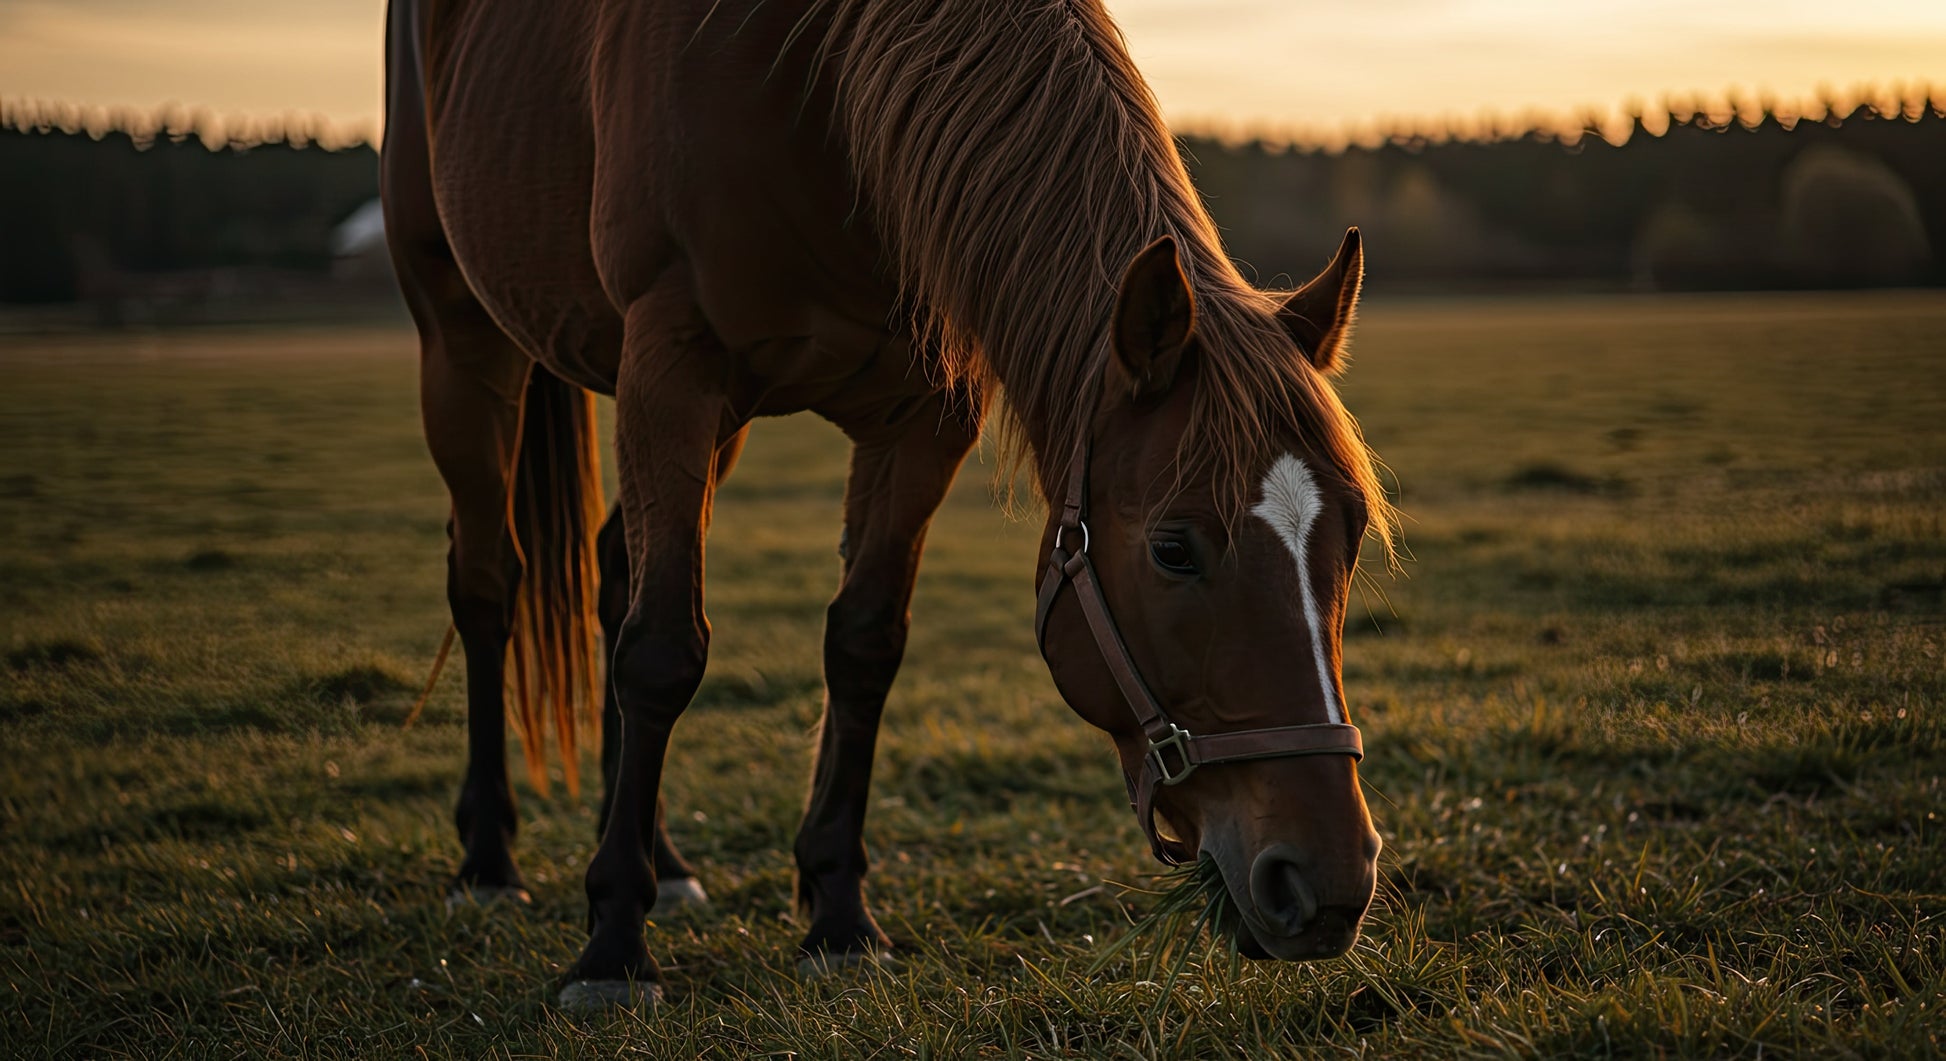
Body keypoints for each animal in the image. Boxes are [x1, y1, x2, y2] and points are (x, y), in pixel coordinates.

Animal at [382, 0, 1398, 1009]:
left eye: (1348, 539)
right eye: (1174, 548)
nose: (1326, 880)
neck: (814, 95)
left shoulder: (922, 415)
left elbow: (863, 643)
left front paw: (837, 918)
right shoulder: (671, 364)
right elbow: (664, 650)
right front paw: (612, 948)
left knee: (613, 571)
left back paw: (660, 859)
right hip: (465, 340)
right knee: (489, 581)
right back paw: (488, 862)